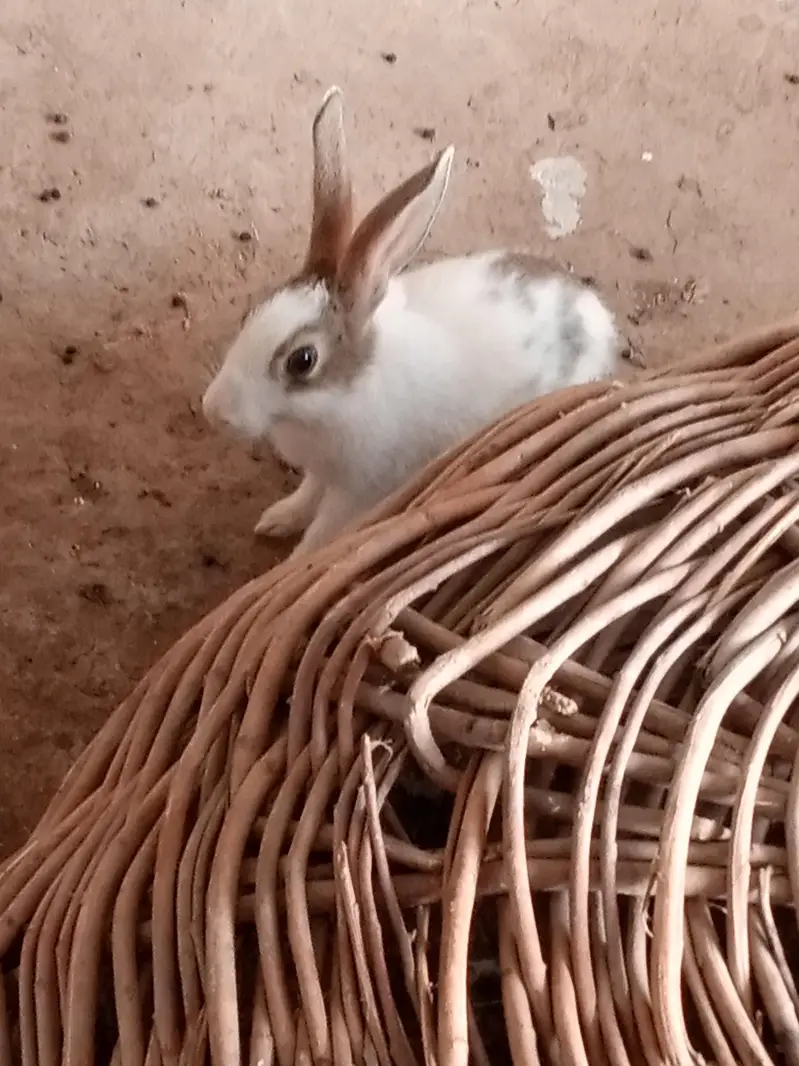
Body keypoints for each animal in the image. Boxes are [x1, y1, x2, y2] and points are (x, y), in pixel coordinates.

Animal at [202, 86, 620, 558]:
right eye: (252, 312)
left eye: (302, 360)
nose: (213, 411)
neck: (346, 392)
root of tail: (598, 315)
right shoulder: (323, 473)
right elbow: (306, 496)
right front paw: (276, 519)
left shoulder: (358, 491)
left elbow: (321, 536)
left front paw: (294, 563)